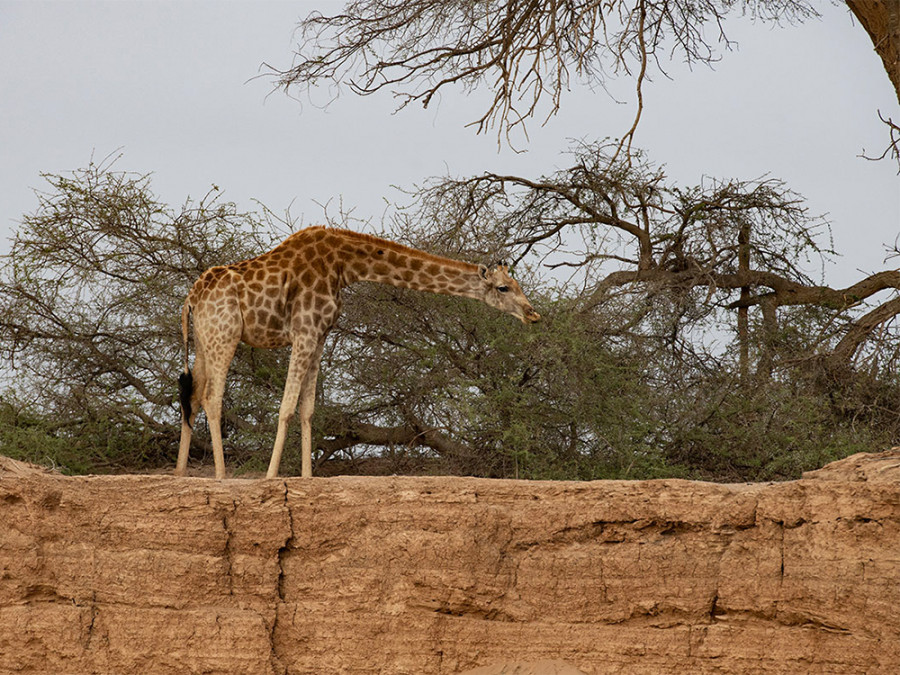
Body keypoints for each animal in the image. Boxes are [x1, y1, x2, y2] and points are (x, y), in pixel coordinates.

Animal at [176, 227, 540, 480]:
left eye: (518, 284)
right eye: (504, 288)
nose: (533, 313)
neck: (344, 265)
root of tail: (191, 297)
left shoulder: (320, 335)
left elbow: (307, 409)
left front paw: (306, 478)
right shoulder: (304, 331)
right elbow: (287, 407)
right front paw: (270, 477)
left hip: (205, 341)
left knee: (192, 395)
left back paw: (180, 473)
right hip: (225, 335)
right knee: (211, 397)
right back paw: (221, 476)